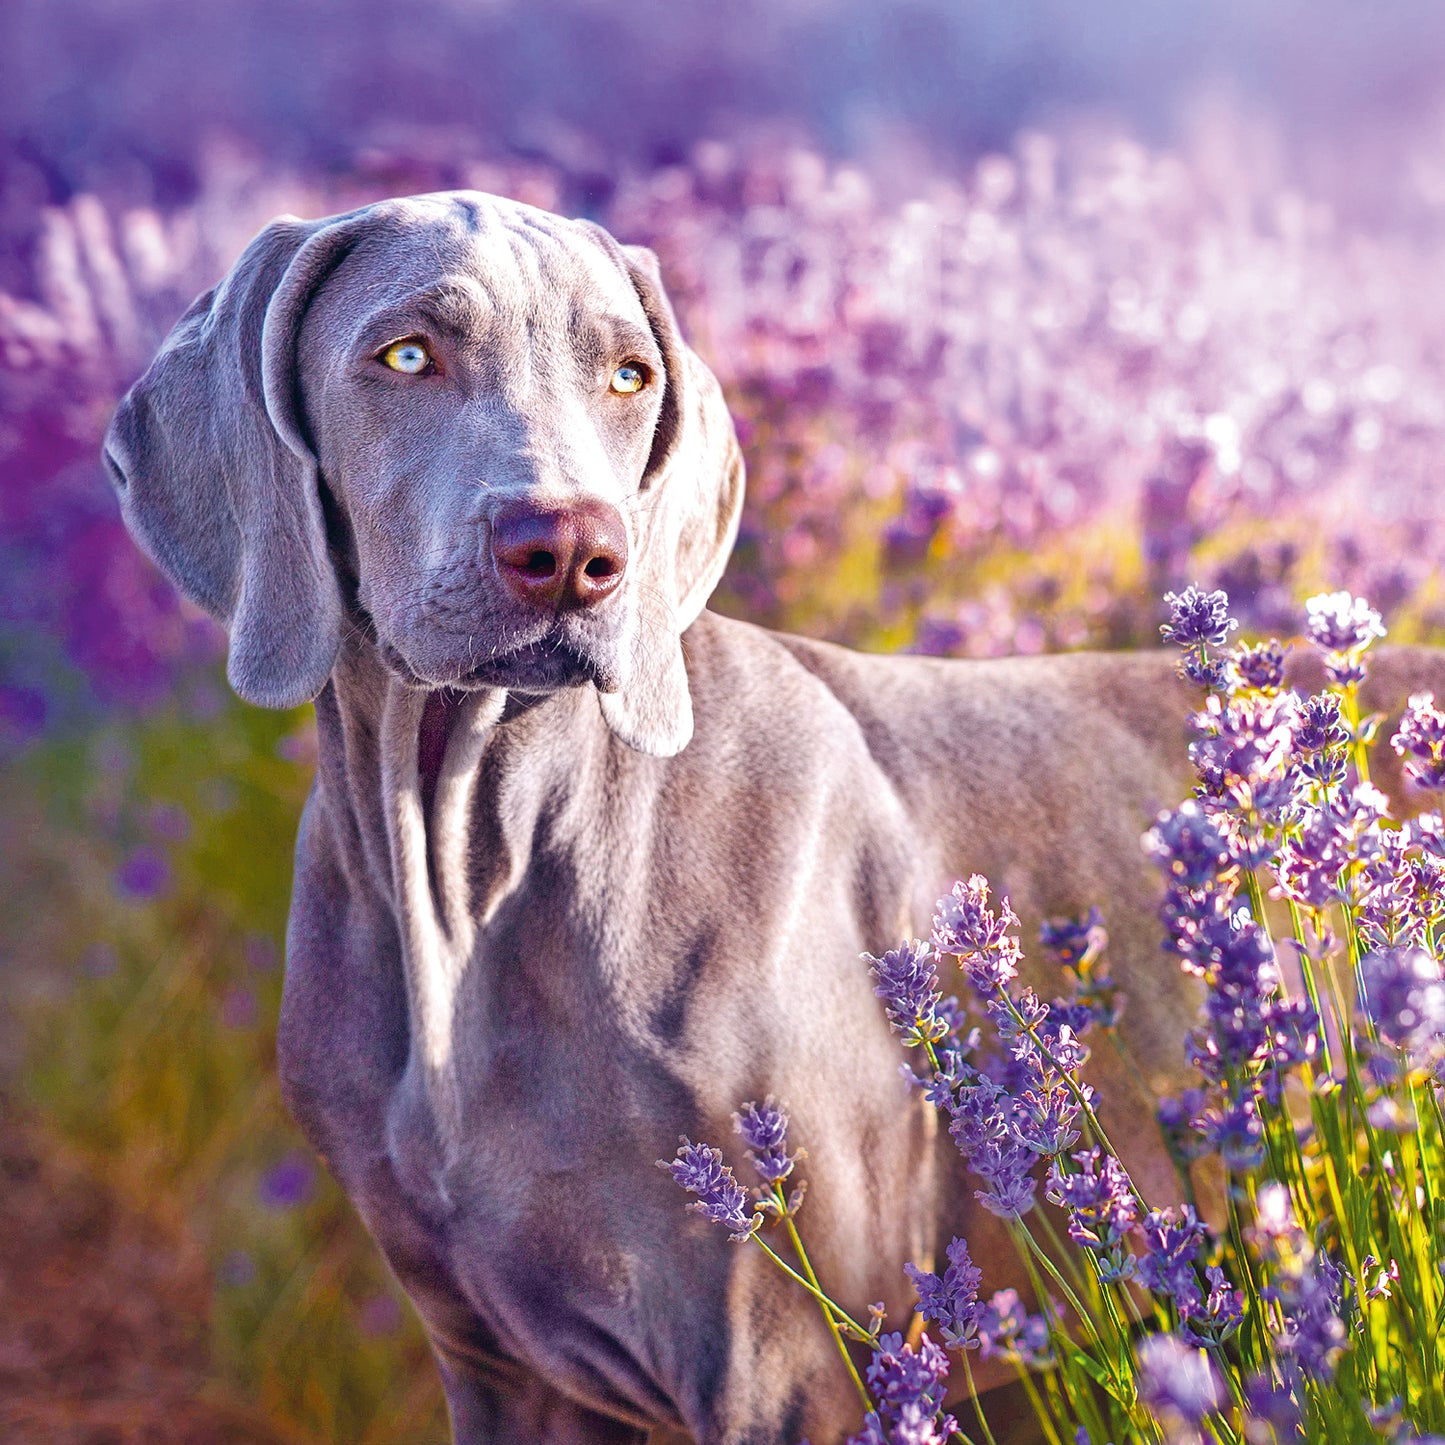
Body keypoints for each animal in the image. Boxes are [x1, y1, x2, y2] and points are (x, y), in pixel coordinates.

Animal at [104, 195, 1445, 1445]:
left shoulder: (787, 1362)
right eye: (405, 354)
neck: (465, 855)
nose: (571, 550)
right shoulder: (497, 1365)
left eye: (628, 375)